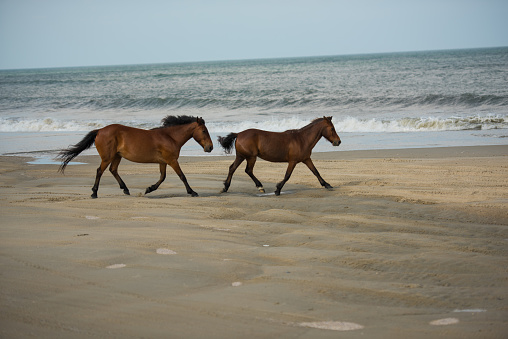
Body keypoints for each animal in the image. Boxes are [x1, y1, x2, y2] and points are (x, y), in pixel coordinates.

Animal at [57, 115, 212, 198]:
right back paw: (94, 193)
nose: (210, 148)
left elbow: (162, 177)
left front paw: (149, 189)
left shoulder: (163, 162)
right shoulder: (172, 160)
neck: (170, 137)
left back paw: (125, 189)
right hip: (107, 157)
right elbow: (182, 176)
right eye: (204, 131)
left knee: (113, 170)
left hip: (117, 156)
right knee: (99, 171)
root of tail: (100, 130)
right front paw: (192, 192)